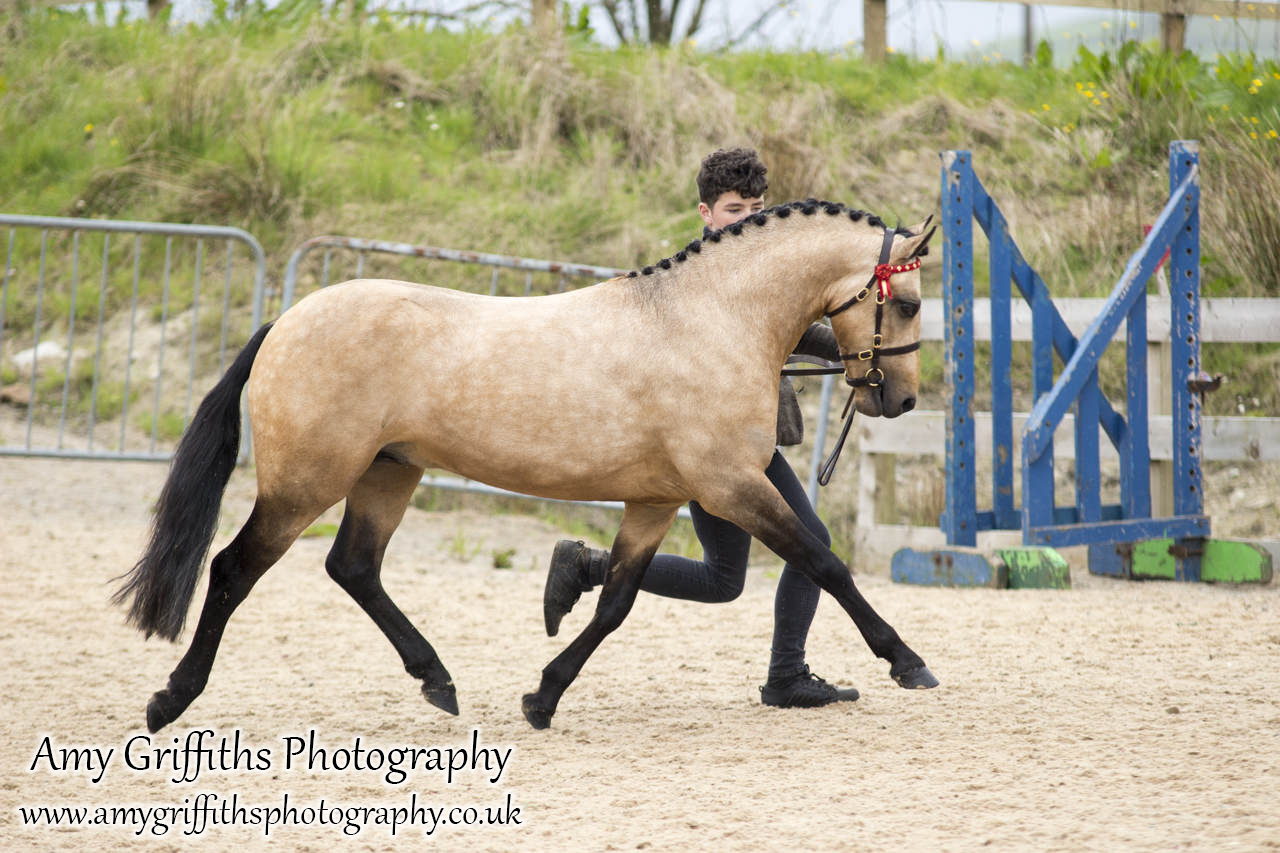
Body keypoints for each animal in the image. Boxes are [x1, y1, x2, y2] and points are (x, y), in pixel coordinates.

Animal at [117, 199, 942, 732]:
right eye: (905, 302)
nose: (901, 398)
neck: (710, 319)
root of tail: (286, 320)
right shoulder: (731, 488)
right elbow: (825, 562)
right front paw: (907, 661)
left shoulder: (657, 501)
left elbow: (615, 603)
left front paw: (543, 696)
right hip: (304, 485)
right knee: (232, 570)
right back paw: (169, 700)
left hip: (387, 473)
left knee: (352, 566)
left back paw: (439, 680)